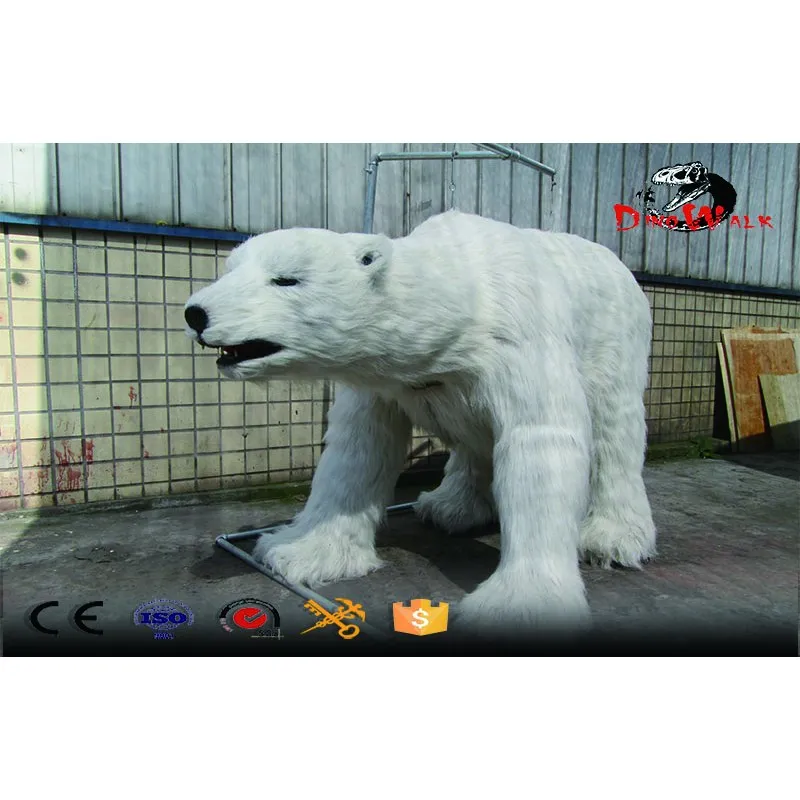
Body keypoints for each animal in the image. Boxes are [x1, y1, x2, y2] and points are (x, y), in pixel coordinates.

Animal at [184, 210, 656, 634]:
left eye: (286, 280)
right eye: (230, 269)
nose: (195, 313)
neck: (465, 299)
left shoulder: (520, 336)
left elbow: (540, 441)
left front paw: (521, 604)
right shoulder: (382, 380)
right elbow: (359, 447)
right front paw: (298, 550)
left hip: (615, 336)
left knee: (615, 426)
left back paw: (614, 539)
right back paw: (450, 507)